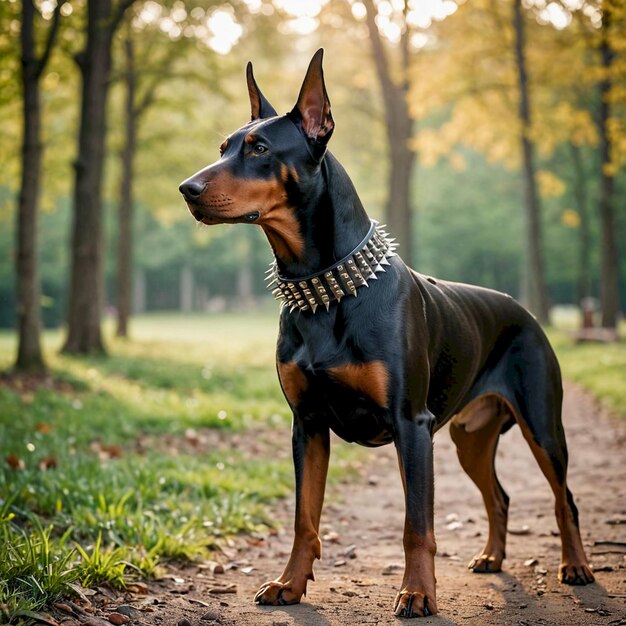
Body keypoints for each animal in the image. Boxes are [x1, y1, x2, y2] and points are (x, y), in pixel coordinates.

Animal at [178, 48, 592, 616]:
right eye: (223, 147)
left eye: (259, 148)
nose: (187, 189)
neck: (324, 289)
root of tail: (522, 310)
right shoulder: (307, 424)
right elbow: (305, 519)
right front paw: (289, 583)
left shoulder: (410, 424)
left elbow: (417, 525)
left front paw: (417, 592)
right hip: (469, 435)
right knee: (499, 495)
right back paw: (492, 557)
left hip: (540, 423)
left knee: (563, 495)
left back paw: (576, 566)